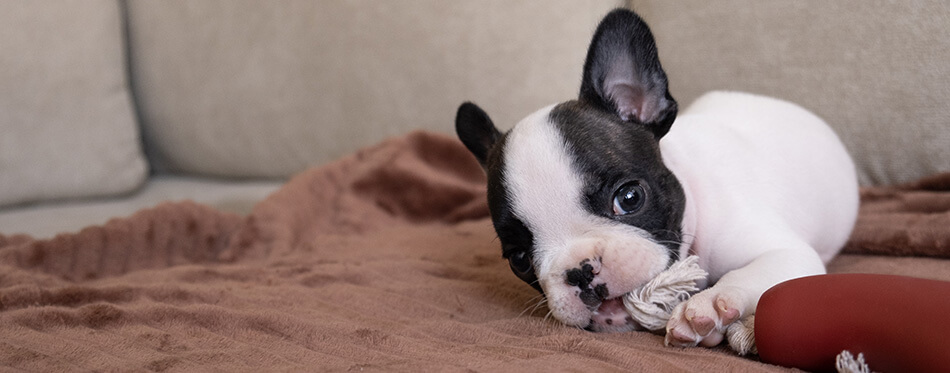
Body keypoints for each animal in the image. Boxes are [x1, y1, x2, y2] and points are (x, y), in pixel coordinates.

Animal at [456, 8, 864, 346]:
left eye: (629, 198)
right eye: (519, 258)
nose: (580, 272)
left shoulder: (787, 254)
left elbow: (752, 273)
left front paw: (710, 305)